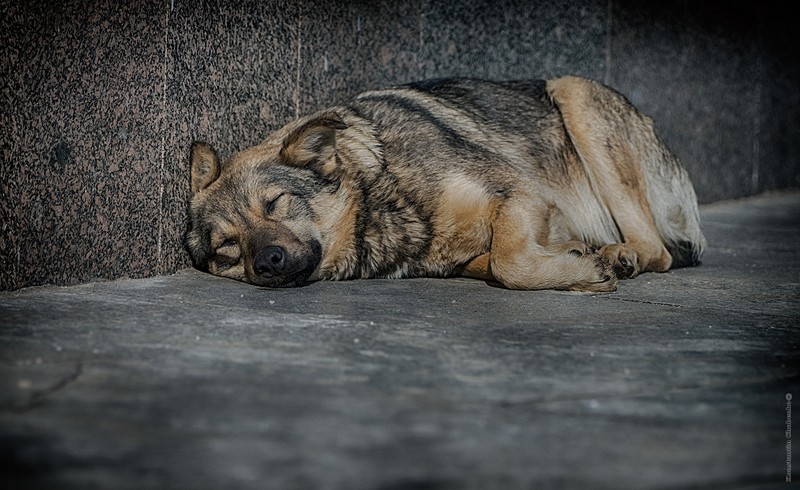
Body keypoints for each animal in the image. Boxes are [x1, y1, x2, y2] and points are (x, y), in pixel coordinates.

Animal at [184, 76, 704, 290]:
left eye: (276, 204)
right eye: (227, 247)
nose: (268, 262)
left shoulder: (521, 191)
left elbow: (510, 262)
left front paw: (584, 270)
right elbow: (496, 260)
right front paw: (573, 259)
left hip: (573, 91)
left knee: (659, 250)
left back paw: (621, 254)